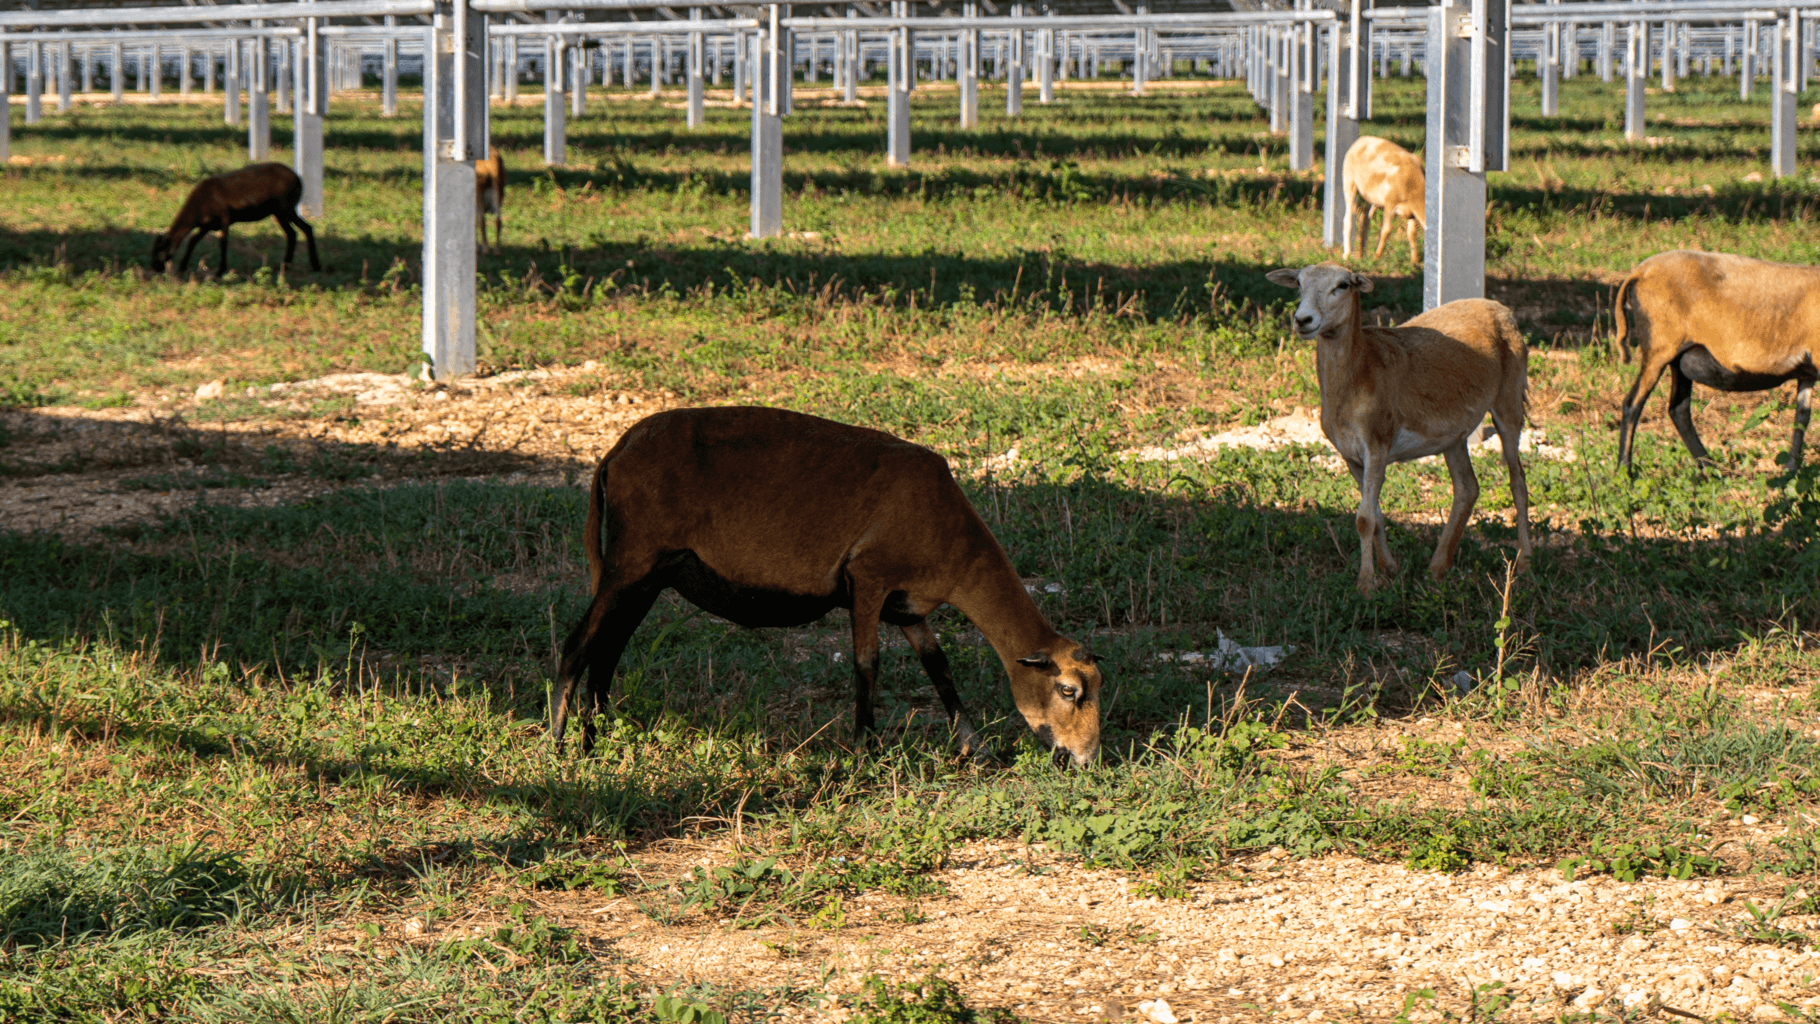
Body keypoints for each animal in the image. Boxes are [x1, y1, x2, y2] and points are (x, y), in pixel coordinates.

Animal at [151, 163, 320, 276]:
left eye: (160, 249)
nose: (155, 267)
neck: (197, 210)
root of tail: (299, 179)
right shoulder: (208, 224)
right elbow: (193, 240)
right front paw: (182, 267)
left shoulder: (224, 216)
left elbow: (223, 241)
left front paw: (220, 271)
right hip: (278, 211)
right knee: (291, 233)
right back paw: (286, 266)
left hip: (285, 206)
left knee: (306, 228)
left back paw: (315, 265)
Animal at [546, 409, 1099, 771]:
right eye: (1068, 690)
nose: (1088, 760)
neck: (957, 547)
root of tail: (616, 451)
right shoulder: (868, 580)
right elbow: (867, 664)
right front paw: (864, 751)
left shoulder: (909, 607)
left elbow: (939, 668)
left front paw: (972, 746)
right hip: (630, 562)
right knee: (577, 645)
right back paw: (557, 747)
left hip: (648, 575)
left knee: (606, 652)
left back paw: (595, 741)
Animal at [1346, 134, 1426, 267]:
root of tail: (1361, 139)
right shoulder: (1390, 204)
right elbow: (1386, 230)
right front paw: (1377, 257)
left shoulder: (1411, 213)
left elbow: (1412, 233)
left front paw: (1415, 262)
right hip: (1349, 181)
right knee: (1348, 217)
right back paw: (1347, 255)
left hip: (1370, 198)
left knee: (1364, 219)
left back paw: (1362, 254)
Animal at [1623, 250, 1820, 476]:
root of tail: (1639, 272)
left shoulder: (1807, 374)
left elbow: (1801, 419)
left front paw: (1791, 471)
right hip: (1658, 348)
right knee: (1632, 404)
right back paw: (1624, 472)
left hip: (1680, 358)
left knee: (1678, 409)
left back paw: (1710, 469)